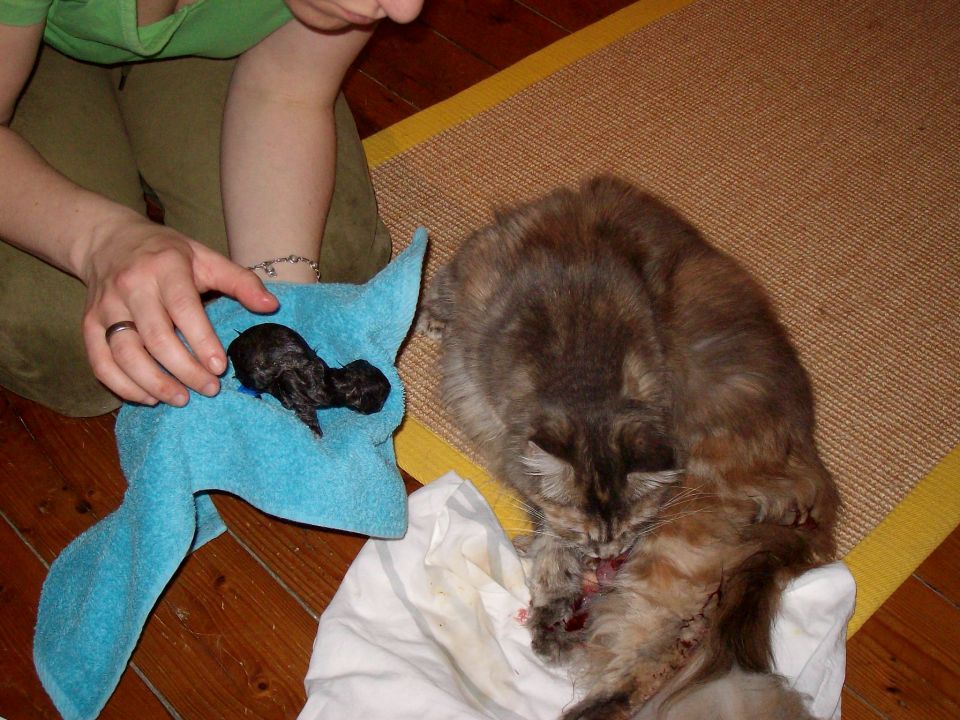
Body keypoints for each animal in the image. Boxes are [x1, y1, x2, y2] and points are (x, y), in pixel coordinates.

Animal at [417, 175, 840, 720]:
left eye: (627, 528)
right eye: (594, 532)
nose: (610, 552)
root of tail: (815, 477)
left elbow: (552, 535)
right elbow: (555, 530)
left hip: (678, 545)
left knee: (645, 655)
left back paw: (587, 704)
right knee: (673, 641)